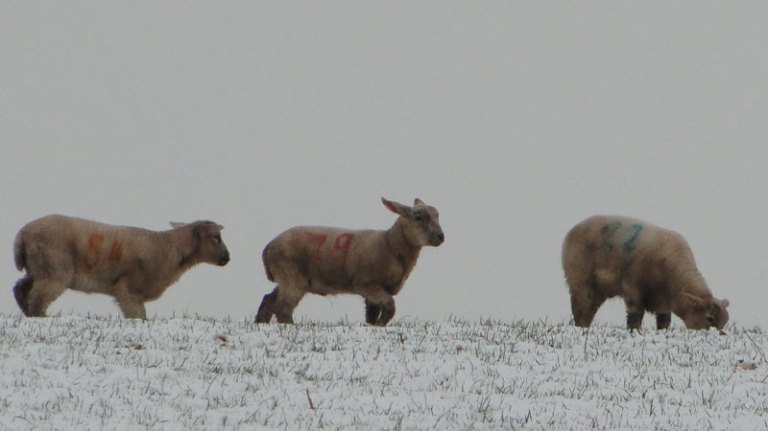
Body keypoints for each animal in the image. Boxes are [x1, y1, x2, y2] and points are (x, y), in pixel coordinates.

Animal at [12, 215, 230, 319]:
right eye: (215, 237)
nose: (227, 258)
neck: (169, 248)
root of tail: (22, 234)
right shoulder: (129, 289)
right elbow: (138, 316)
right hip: (54, 267)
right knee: (38, 295)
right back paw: (39, 315)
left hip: (38, 267)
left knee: (19, 288)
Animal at [255, 197, 444, 326]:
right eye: (418, 217)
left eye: (437, 215)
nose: (440, 236)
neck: (388, 244)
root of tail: (269, 247)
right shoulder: (366, 284)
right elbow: (390, 307)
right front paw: (381, 324)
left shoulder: (372, 292)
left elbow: (371, 314)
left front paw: (373, 326)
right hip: (292, 276)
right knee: (283, 308)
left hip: (286, 278)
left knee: (268, 300)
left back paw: (260, 322)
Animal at [562, 215, 729, 331]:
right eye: (709, 318)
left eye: (725, 321)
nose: (720, 334)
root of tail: (571, 231)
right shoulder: (633, 288)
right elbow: (635, 316)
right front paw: (634, 331)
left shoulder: (664, 301)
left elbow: (664, 321)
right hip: (579, 280)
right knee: (580, 308)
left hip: (599, 290)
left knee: (589, 310)